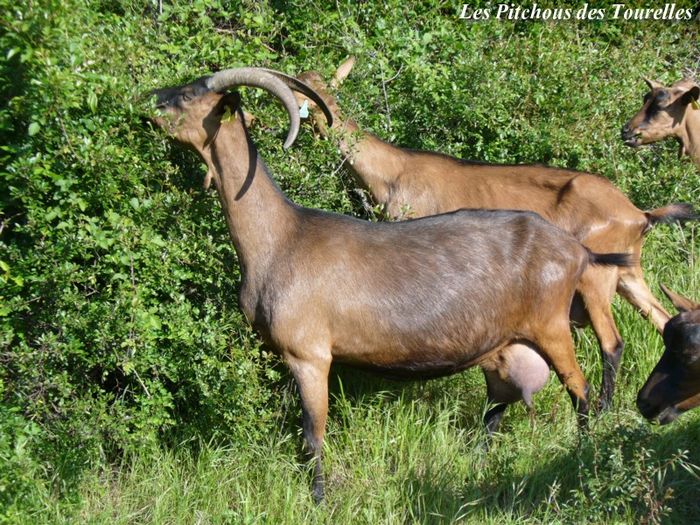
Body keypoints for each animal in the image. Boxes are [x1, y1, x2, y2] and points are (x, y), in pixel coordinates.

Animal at [150, 66, 632, 500]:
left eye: (188, 95)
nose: (149, 101)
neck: (281, 238)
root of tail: (576, 252)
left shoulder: (310, 355)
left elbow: (312, 433)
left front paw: (318, 498)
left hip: (551, 326)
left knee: (581, 389)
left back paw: (581, 453)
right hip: (505, 347)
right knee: (496, 407)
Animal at [288, 58, 696, 418]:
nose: (324, 124)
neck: (394, 172)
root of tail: (639, 214)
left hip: (597, 278)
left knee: (611, 344)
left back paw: (601, 411)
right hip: (629, 275)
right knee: (661, 320)